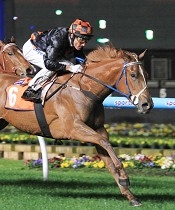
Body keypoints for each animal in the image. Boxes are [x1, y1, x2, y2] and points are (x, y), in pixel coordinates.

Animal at [0, 42, 153, 205]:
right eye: (133, 75)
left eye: (146, 75)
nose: (147, 105)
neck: (84, 88)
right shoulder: (74, 128)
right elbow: (104, 143)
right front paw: (124, 176)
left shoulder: (98, 128)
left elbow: (107, 155)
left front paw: (130, 195)